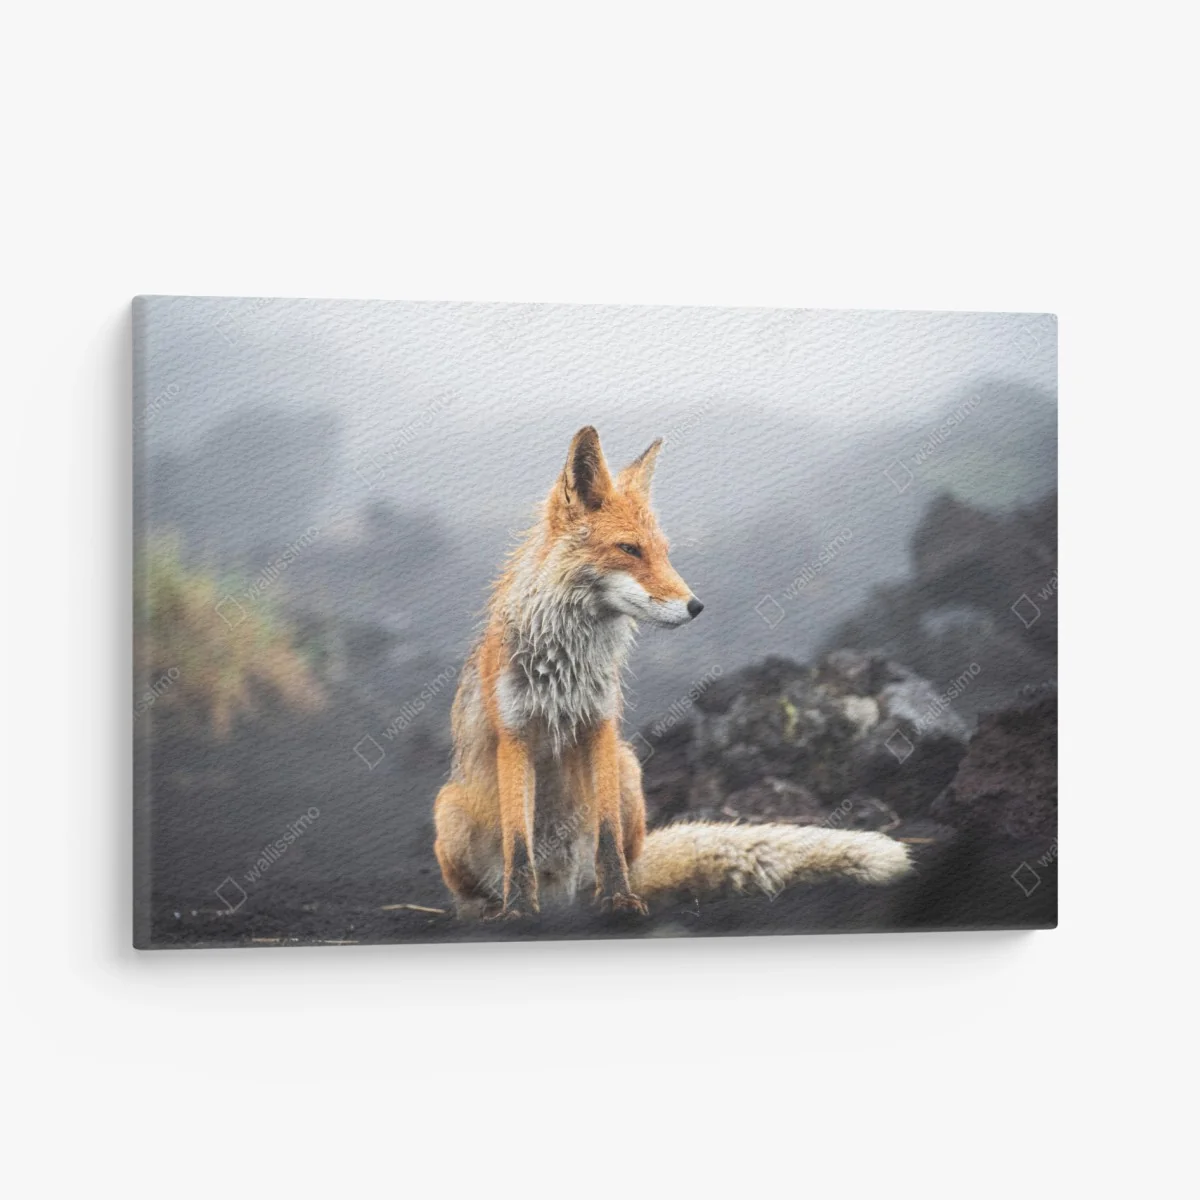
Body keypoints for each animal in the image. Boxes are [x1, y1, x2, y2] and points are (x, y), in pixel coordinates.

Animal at [433, 425, 912, 918]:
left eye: (663, 553)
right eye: (629, 549)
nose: (696, 606)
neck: (566, 667)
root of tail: (561, 890)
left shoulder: (599, 726)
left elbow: (608, 837)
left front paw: (619, 899)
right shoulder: (515, 735)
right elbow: (518, 844)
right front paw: (518, 912)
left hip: (628, 770)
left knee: (618, 860)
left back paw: (603, 895)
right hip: (449, 809)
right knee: (474, 890)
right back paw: (490, 909)